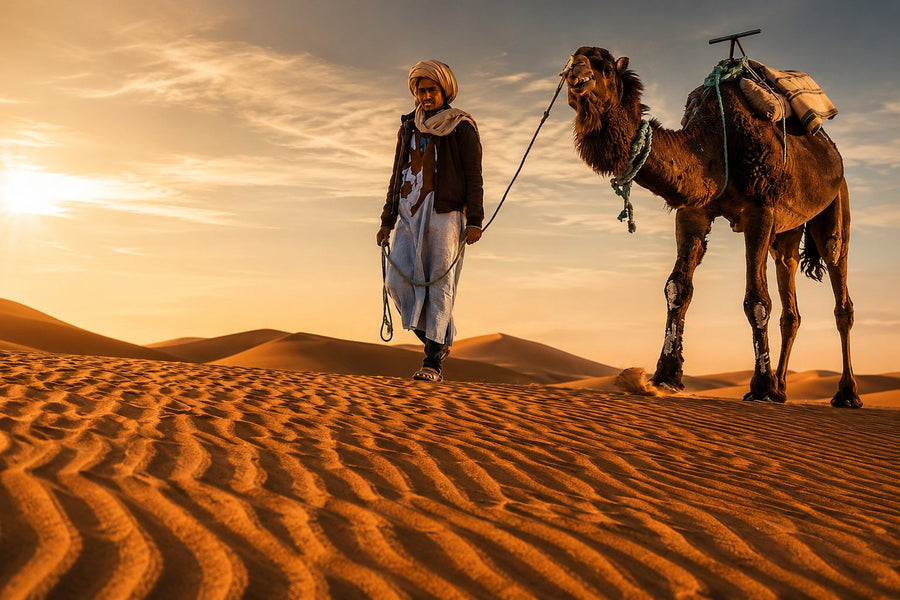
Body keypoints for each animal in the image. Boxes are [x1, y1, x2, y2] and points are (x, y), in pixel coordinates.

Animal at [564, 46, 861, 407]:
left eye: (605, 67)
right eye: (571, 61)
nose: (576, 73)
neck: (716, 143)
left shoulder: (761, 209)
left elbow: (756, 300)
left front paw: (759, 386)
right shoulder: (693, 210)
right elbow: (677, 287)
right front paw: (666, 375)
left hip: (836, 204)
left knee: (838, 282)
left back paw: (845, 394)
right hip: (787, 233)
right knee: (790, 300)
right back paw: (781, 389)